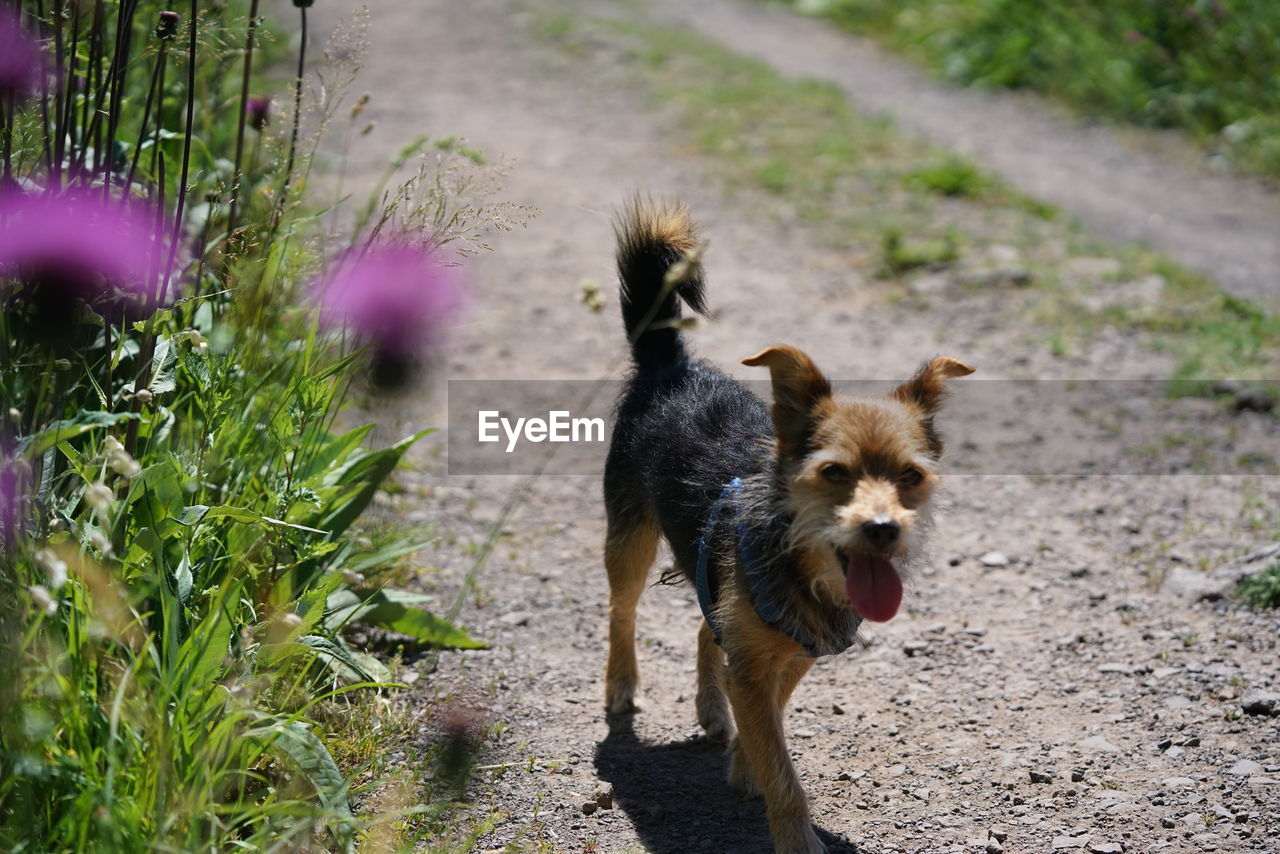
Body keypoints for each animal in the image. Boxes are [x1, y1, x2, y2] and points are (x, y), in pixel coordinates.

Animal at [599, 198, 967, 854]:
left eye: (911, 476)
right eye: (833, 472)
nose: (882, 528)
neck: (800, 566)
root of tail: (671, 368)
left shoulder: (794, 652)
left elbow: (767, 719)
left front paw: (744, 765)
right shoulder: (757, 662)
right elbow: (779, 761)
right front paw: (794, 834)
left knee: (706, 629)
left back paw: (711, 708)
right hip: (630, 538)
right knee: (623, 610)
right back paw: (621, 685)